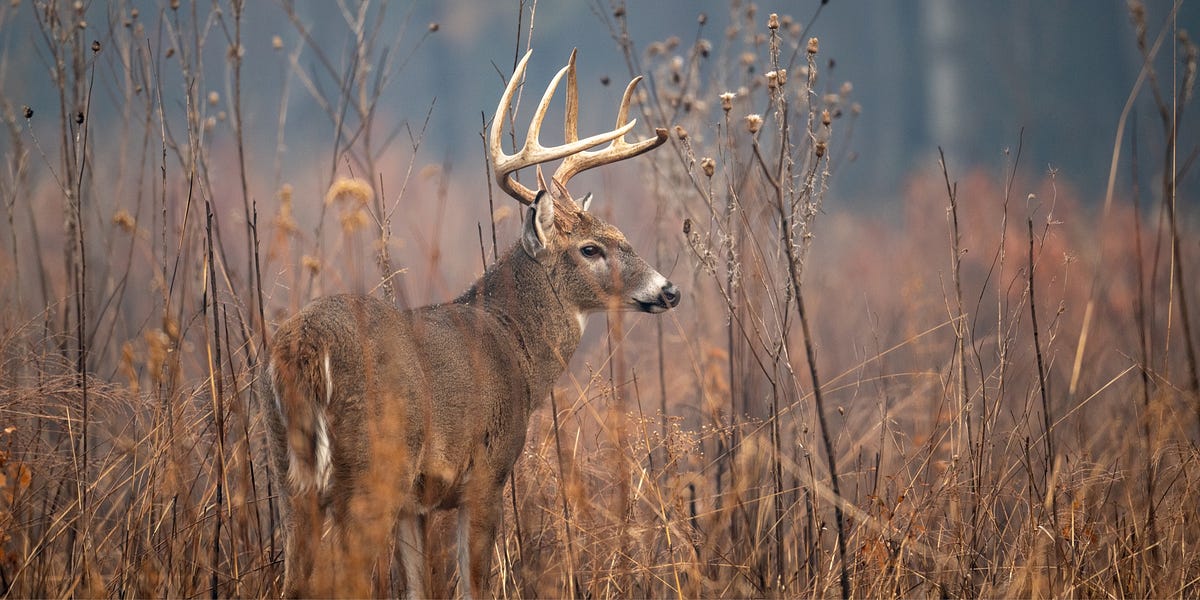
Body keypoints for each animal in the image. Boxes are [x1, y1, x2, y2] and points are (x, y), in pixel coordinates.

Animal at [265, 49, 677, 598]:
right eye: (591, 249)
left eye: (620, 233)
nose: (668, 290)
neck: (514, 347)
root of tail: (305, 347)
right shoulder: (487, 472)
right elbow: (472, 584)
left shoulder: (415, 505)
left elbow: (420, 588)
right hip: (370, 470)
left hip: (290, 477)